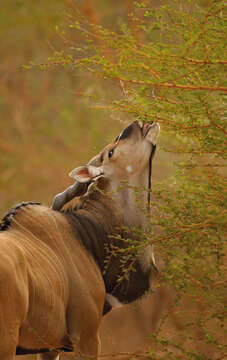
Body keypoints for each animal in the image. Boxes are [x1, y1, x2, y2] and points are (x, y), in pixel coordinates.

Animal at [0, 119, 160, 358]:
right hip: (7, 343)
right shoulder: (87, 336)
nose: (136, 123)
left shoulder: (50, 347)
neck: (85, 234)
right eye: (111, 152)